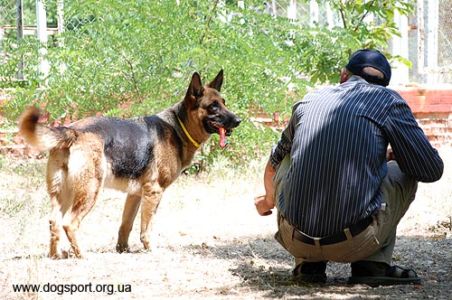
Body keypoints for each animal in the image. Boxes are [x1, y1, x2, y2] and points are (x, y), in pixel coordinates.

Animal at [19, 70, 242, 258]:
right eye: (213, 106)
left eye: (224, 102)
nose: (238, 120)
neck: (179, 127)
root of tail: (72, 130)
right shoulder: (154, 192)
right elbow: (147, 227)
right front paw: (150, 249)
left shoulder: (135, 195)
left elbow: (126, 225)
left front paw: (123, 249)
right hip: (90, 191)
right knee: (69, 223)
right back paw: (82, 255)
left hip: (63, 194)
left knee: (54, 222)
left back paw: (55, 255)